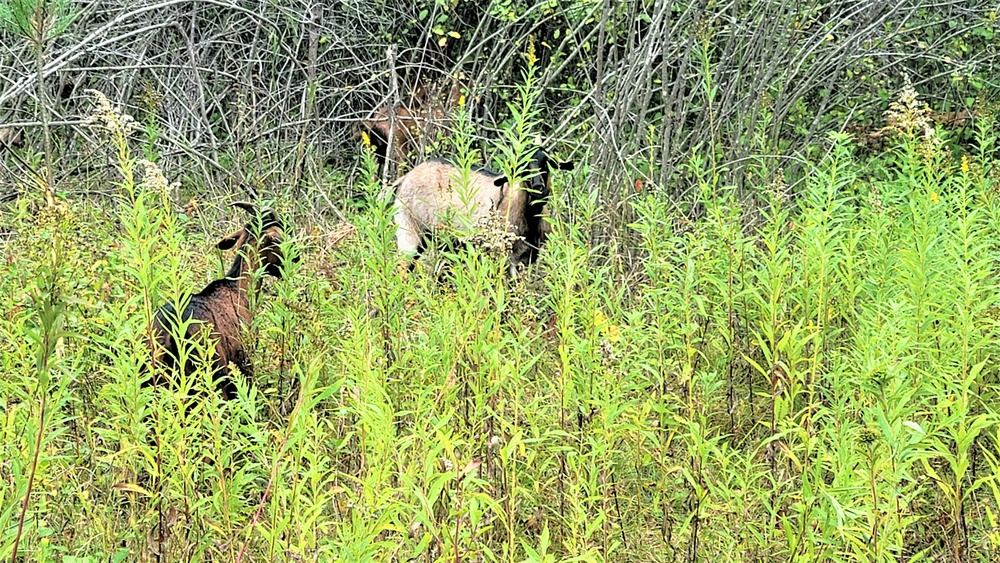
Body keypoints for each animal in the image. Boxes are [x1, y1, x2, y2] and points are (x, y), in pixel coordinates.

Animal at [145, 200, 292, 398]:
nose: (295, 258)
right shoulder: (245, 361)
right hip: (212, 378)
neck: (240, 289)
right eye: (278, 238)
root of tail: (171, 334)